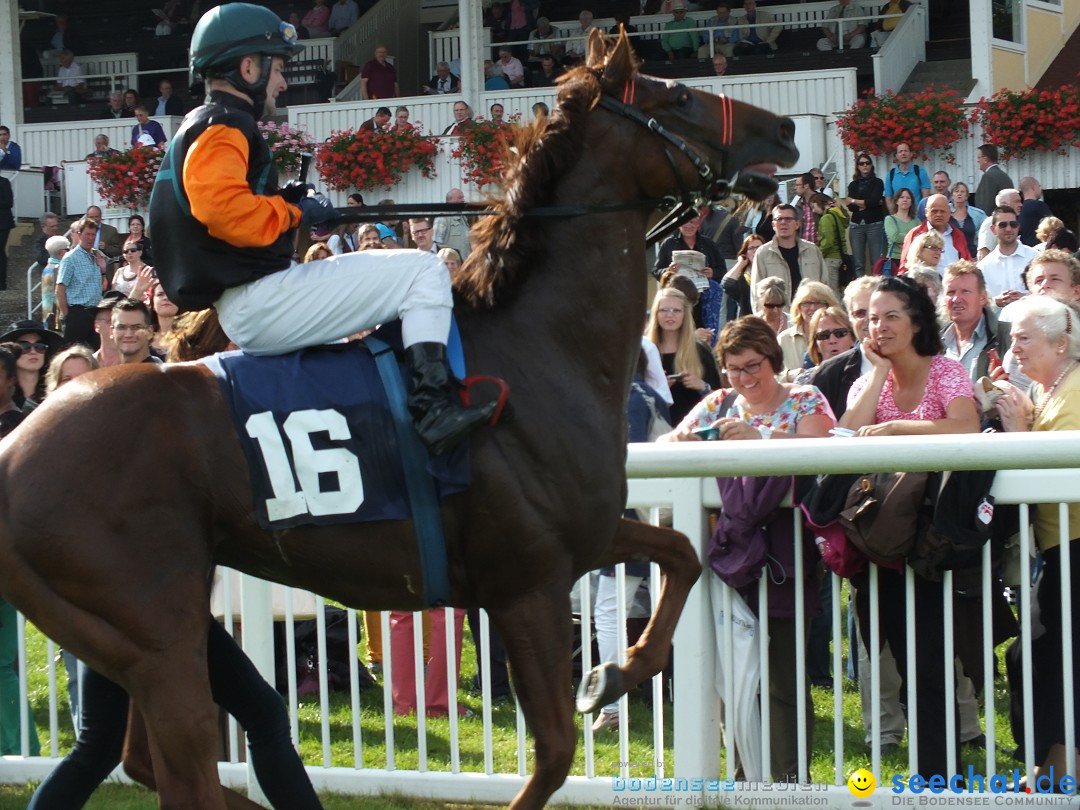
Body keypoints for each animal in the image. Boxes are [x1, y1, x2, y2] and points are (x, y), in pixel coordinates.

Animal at [0, 31, 794, 810]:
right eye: (679, 95)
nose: (785, 129)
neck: (540, 346)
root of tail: (13, 450)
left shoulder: (585, 537)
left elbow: (682, 556)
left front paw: (615, 672)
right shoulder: (526, 582)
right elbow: (555, 755)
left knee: (144, 756)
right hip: (158, 644)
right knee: (181, 769)